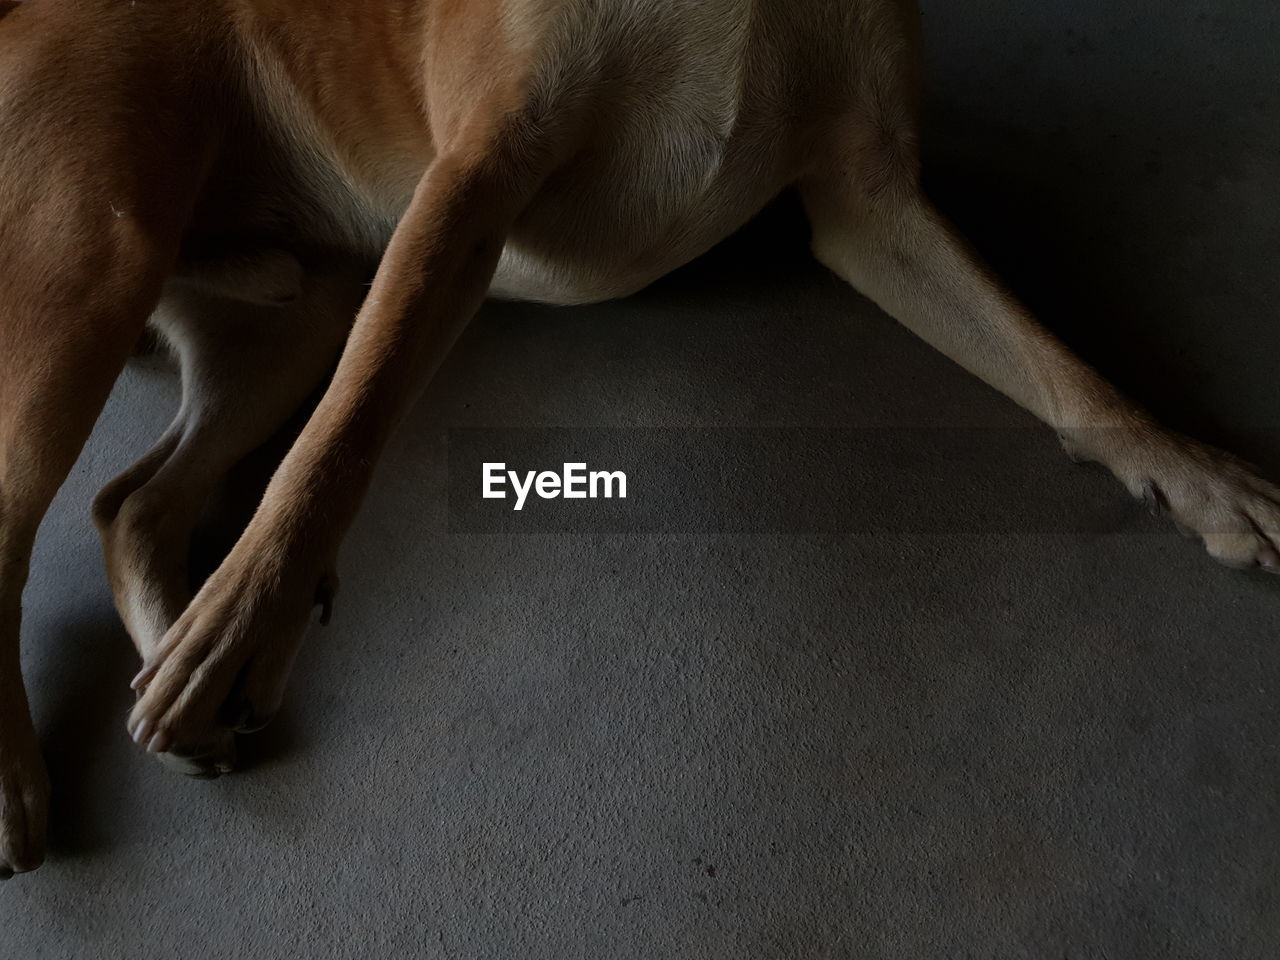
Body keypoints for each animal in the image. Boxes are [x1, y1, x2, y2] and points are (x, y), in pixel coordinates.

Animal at [2, 0, 1280, 880]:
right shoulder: (471, 181)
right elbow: (346, 432)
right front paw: (246, 618)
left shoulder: (868, 200)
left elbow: (1059, 366)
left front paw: (1193, 471)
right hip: (88, 268)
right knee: (22, 529)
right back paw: (36, 767)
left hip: (294, 307)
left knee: (129, 501)